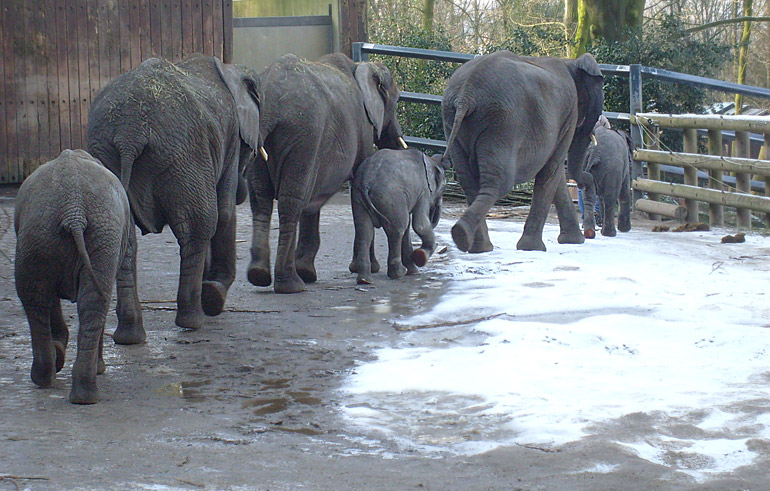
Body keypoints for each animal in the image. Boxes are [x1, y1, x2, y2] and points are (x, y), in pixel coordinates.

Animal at [14, 149, 143, 404]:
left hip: (43, 233)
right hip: (62, 233)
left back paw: (55, 380)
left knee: (38, 297)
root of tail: (74, 211)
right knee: (76, 301)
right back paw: (77, 387)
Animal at [88, 53, 264, 332]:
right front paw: (214, 292)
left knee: (125, 235)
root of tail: (129, 132)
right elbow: (224, 212)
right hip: (183, 155)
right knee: (199, 225)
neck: (229, 68)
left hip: (108, 152)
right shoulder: (230, 138)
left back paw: (130, 333)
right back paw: (194, 319)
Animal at [249, 53, 408, 294]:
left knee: (261, 198)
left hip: (258, 135)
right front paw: (369, 268)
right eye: (397, 100)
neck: (360, 65)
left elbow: (312, 200)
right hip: (305, 134)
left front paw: (307, 271)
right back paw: (291, 285)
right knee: (291, 201)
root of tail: (271, 97)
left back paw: (259, 275)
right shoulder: (362, 126)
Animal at [346, 148, 448, 284]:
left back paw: (364, 280)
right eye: (443, 188)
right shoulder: (424, 191)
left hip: (358, 197)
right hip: (391, 196)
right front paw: (420, 257)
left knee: (364, 232)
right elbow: (419, 225)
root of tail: (365, 182)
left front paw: (414, 271)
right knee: (397, 230)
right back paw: (398, 274)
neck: (430, 160)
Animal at [440, 51, 604, 254]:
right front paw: (533, 248)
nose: (590, 232)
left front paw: (573, 241)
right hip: (503, 123)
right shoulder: (569, 114)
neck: (571, 62)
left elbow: (555, 174)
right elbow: (552, 170)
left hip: (452, 119)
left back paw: (476, 245)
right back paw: (464, 235)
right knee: (500, 182)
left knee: (468, 180)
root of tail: (466, 95)